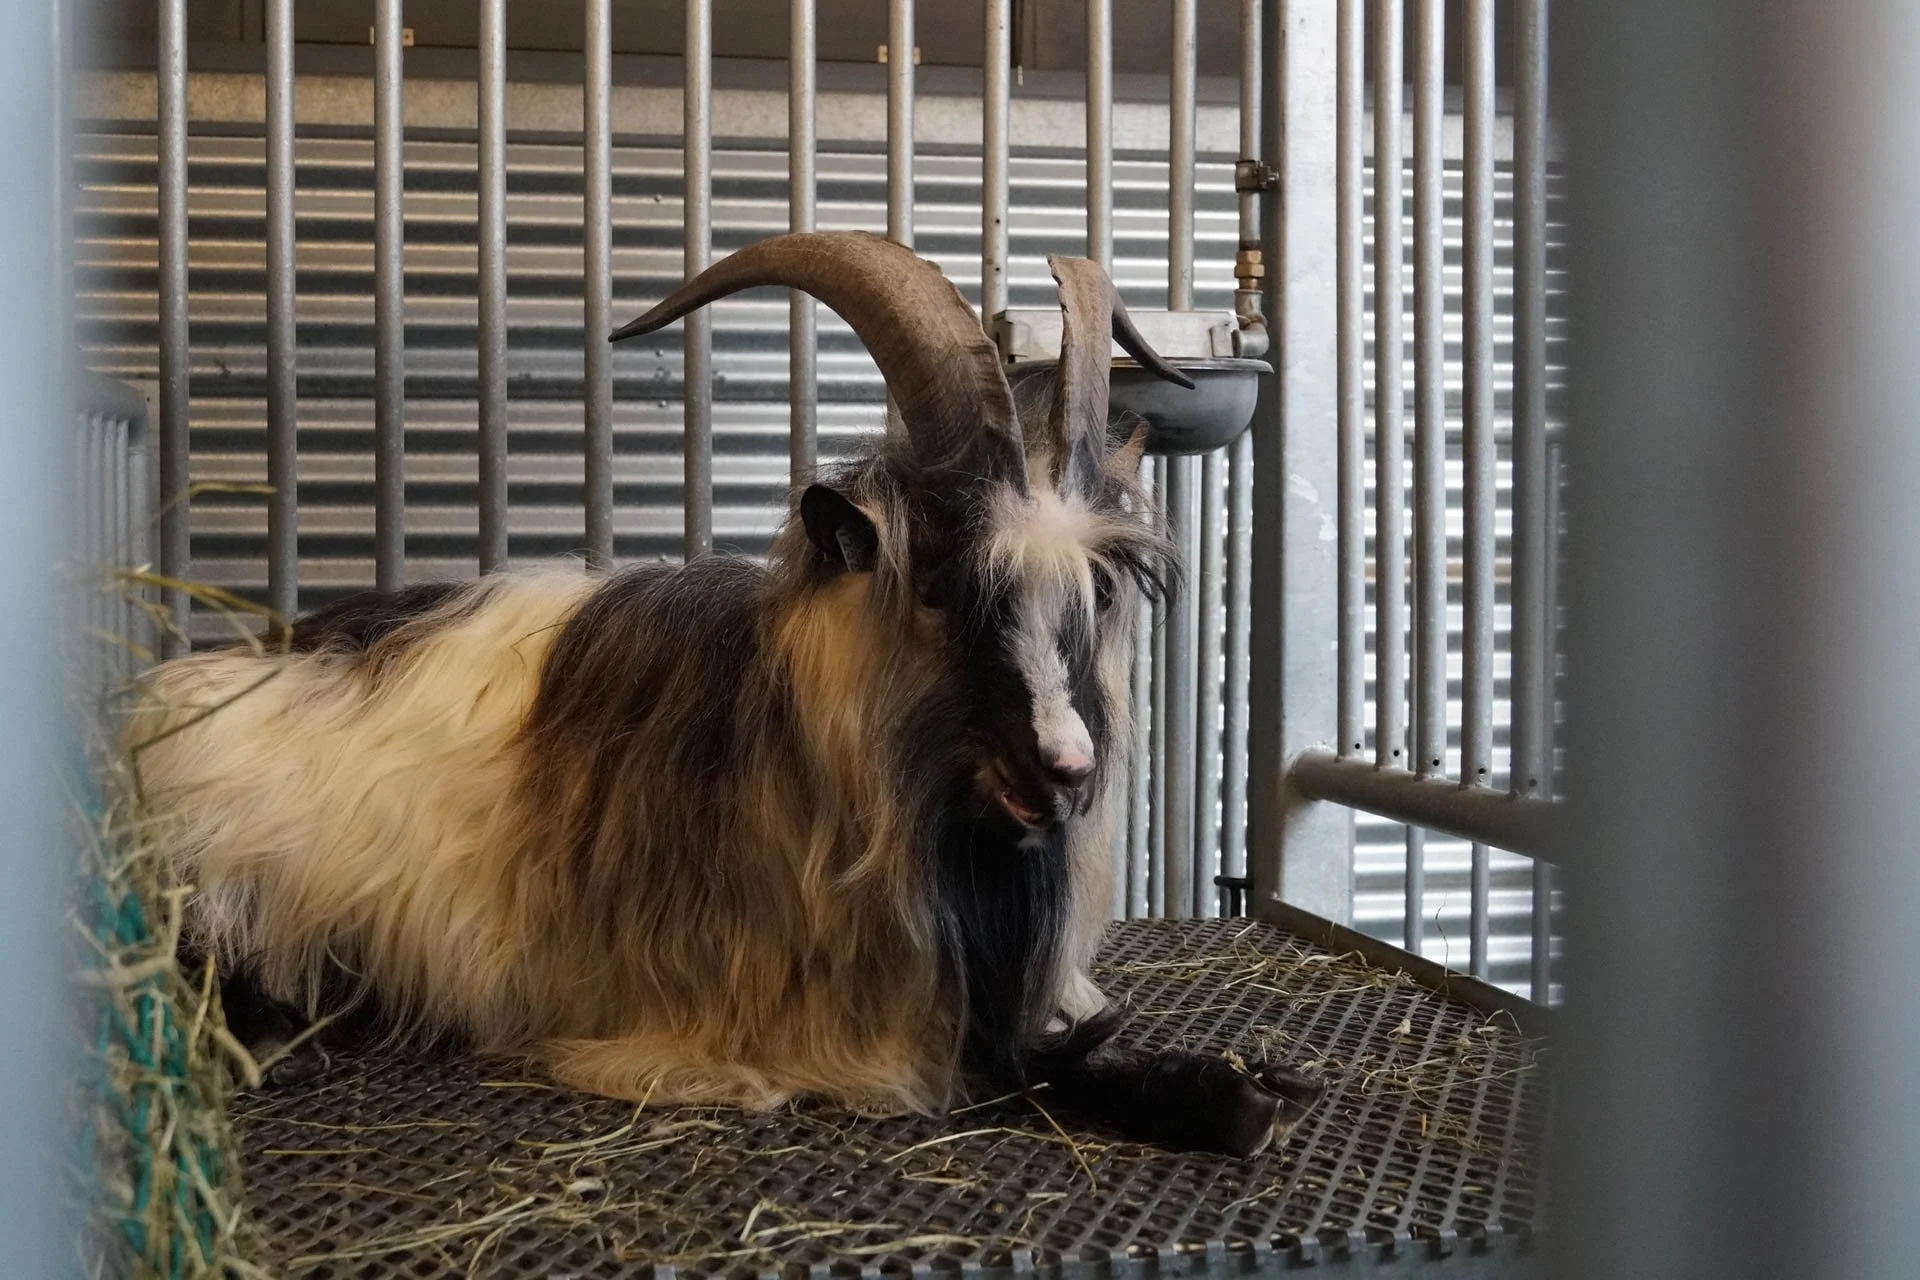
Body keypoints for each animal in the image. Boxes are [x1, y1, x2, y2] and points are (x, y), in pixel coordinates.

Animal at [129, 232, 1320, 1155]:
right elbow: (1021, 1070)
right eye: (940, 586)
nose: (1067, 770)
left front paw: (1257, 1081)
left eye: (1093, 593)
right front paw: (1223, 1096)